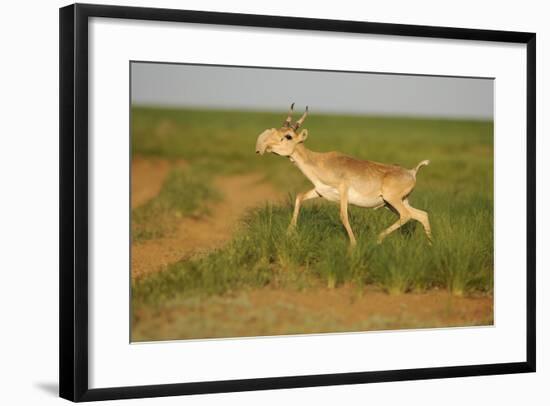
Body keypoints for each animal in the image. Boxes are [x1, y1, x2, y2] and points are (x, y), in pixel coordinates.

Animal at [256, 103, 434, 246]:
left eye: (288, 136)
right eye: (279, 130)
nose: (264, 147)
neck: (320, 161)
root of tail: (411, 172)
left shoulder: (343, 192)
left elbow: (343, 216)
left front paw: (353, 245)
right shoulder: (320, 191)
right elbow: (299, 197)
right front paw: (289, 233)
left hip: (392, 201)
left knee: (407, 215)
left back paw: (378, 238)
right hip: (393, 203)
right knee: (421, 215)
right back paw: (430, 246)